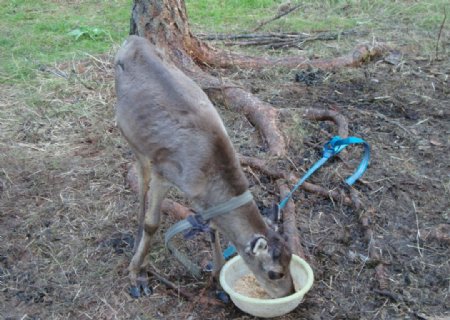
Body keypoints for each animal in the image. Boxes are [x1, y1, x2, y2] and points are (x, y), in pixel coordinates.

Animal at [114, 36, 294, 298]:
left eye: (291, 259)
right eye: (274, 273)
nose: (292, 293)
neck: (204, 177)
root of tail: (131, 39)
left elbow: (211, 227)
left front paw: (218, 278)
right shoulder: (164, 172)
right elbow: (152, 223)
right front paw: (137, 274)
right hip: (132, 138)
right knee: (141, 183)